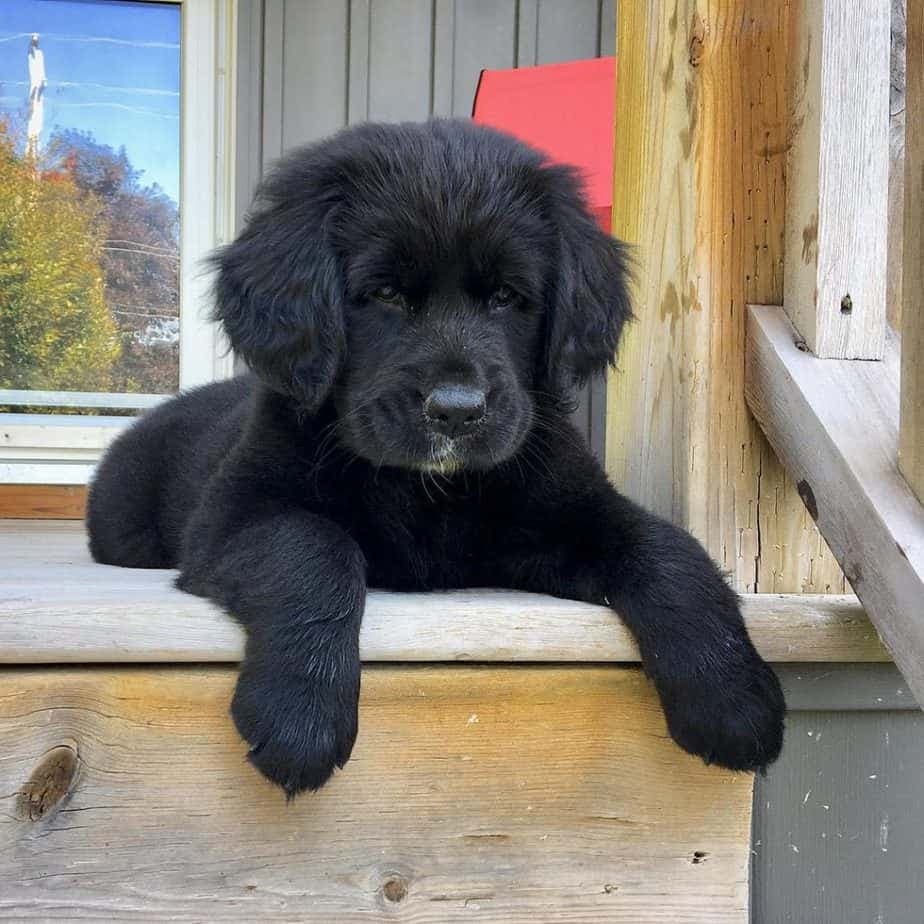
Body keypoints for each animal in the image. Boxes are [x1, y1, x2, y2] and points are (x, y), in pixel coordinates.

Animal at [86, 121, 784, 796]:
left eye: (506, 297)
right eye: (385, 294)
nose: (456, 410)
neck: (429, 492)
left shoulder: (570, 512)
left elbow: (669, 550)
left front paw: (733, 699)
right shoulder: (234, 514)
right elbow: (312, 548)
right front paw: (300, 717)